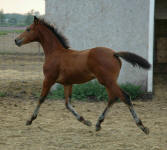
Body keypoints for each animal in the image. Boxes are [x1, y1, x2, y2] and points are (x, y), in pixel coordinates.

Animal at [15, 16, 151, 135]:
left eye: (28, 29)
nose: (16, 40)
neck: (55, 53)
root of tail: (114, 53)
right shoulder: (67, 83)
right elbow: (68, 104)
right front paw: (85, 121)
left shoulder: (48, 79)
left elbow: (41, 98)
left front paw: (30, 120)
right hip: (108, 82)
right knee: (113, 98)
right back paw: (98, 123)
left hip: (107, 81)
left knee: (125, 97)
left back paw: (142, 126)